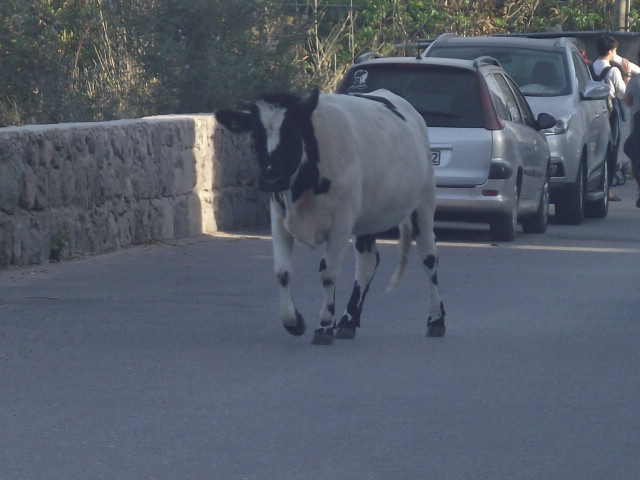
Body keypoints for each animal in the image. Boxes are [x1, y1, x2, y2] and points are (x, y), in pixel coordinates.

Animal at [215, 89, 444, 344]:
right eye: (256, 138)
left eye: (292, 135)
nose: (271, 179)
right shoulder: (279, 220)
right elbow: (282, 272)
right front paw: (294, 322)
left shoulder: (341, 223)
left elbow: (328, 274)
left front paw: (324, 326)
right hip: (366, 219)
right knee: (368, 261)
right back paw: (348, 321)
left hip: (423, 203)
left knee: (428, 257)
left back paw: (436, 320)